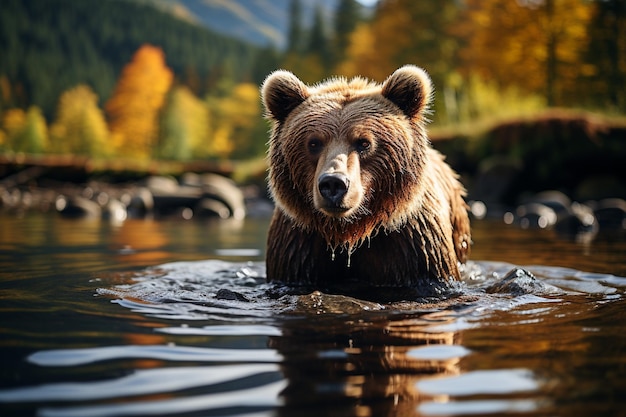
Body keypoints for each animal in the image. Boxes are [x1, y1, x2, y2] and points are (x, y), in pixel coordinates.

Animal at [258, 64, 468, 300]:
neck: (349, 232)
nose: (333, 183)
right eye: (313, 143)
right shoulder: (298, 246)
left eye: (364, 143)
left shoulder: (414, 243)